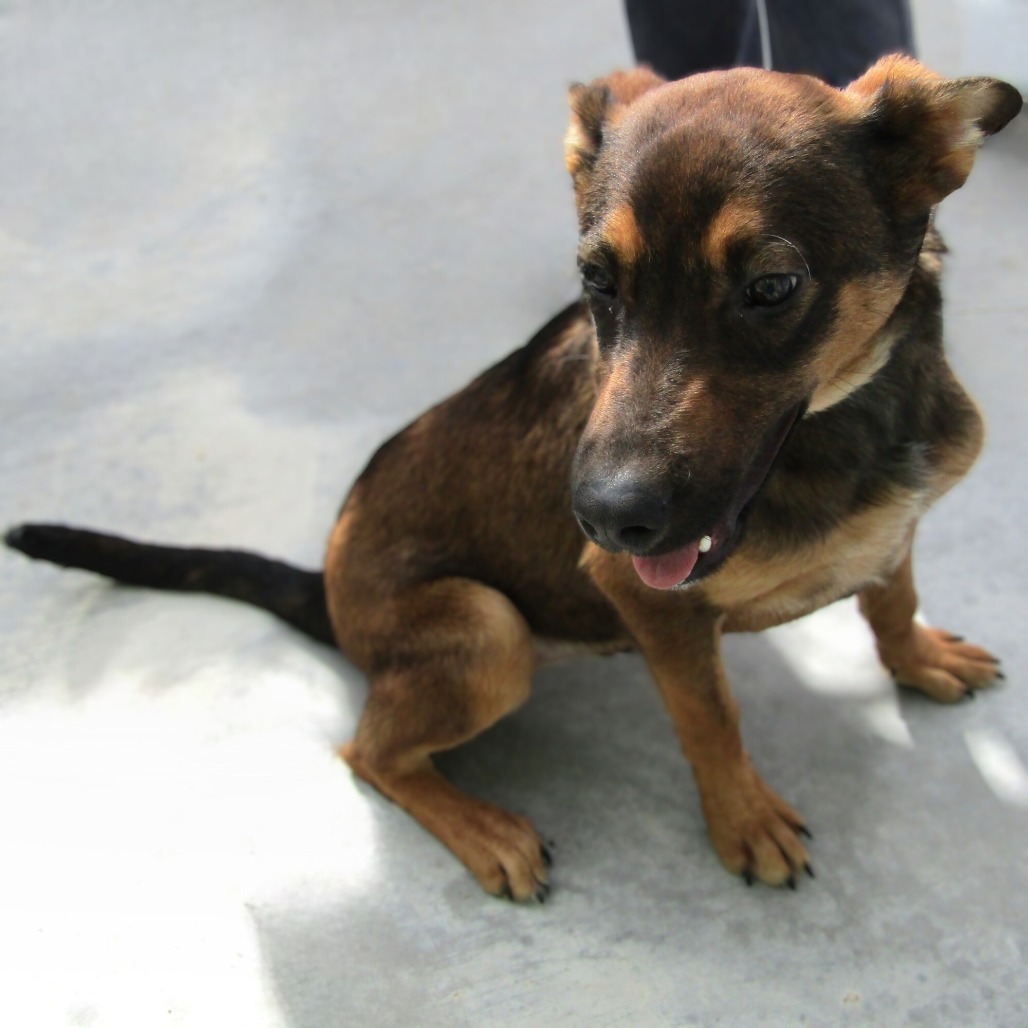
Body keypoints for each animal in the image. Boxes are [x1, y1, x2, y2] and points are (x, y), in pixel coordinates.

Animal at [6, 56, 1019, 904]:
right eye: (597, 282)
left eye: (772, 287)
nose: (605, 519)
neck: (856, 421)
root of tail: (328, 597)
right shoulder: (647, 602)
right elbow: (712, 720)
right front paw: (745, 822)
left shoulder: (895, 527)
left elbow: (892, 598)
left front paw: (919, 659)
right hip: (488, 630)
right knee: (367, 751)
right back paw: (485, 830)